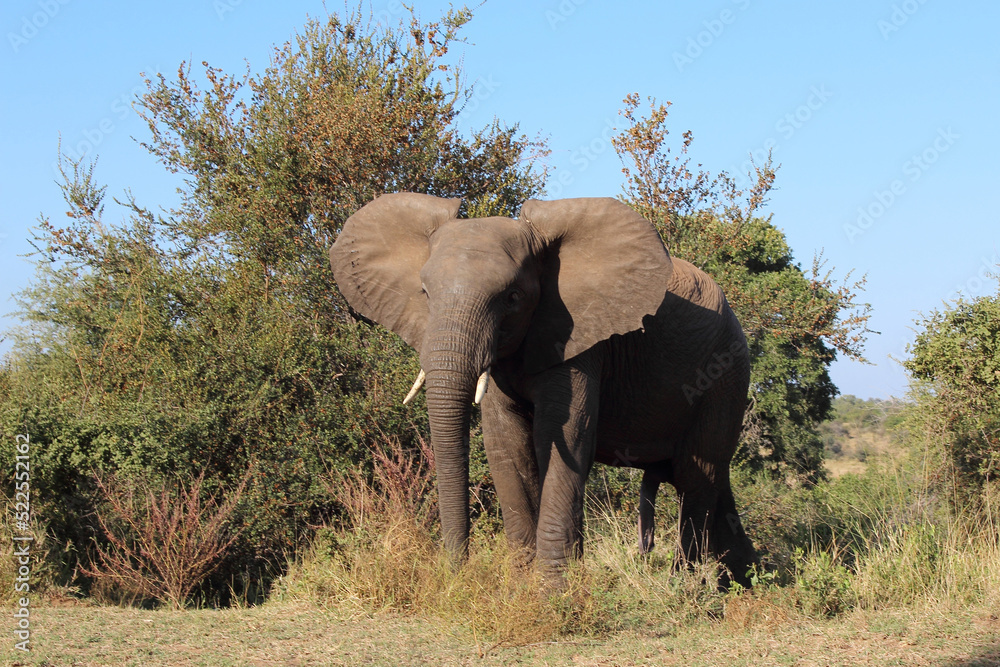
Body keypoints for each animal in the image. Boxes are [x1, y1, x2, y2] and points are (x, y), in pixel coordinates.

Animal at [330, 192, 756, 584]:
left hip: (726, 375)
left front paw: (553, 591)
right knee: (714, 482)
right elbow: (507, 442)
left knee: (696, 477)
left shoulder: (580, 337)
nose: (455, 573)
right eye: (425, 293)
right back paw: (739, 583)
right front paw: (522, 583)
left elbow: (564, 434)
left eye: (513, 297)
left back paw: (689, 587)